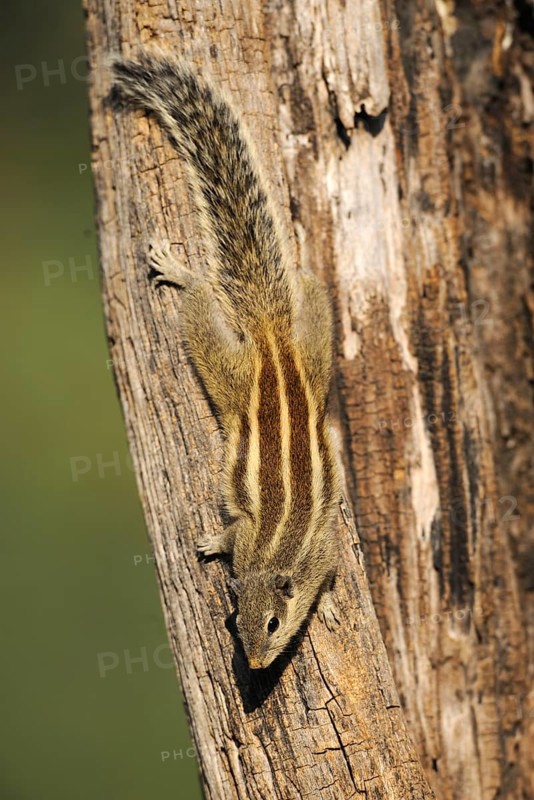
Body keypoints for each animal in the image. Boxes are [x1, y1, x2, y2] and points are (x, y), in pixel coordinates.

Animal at [112, 52, 341, 669]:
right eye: (234, 622)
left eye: (273, 622)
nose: (257, 664)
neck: (276, 554)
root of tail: (270, 337)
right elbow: (234, 533)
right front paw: (215, 541)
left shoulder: (320, 550)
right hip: (290, 353)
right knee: (285, 293)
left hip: (238, 366)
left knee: (216, 305)